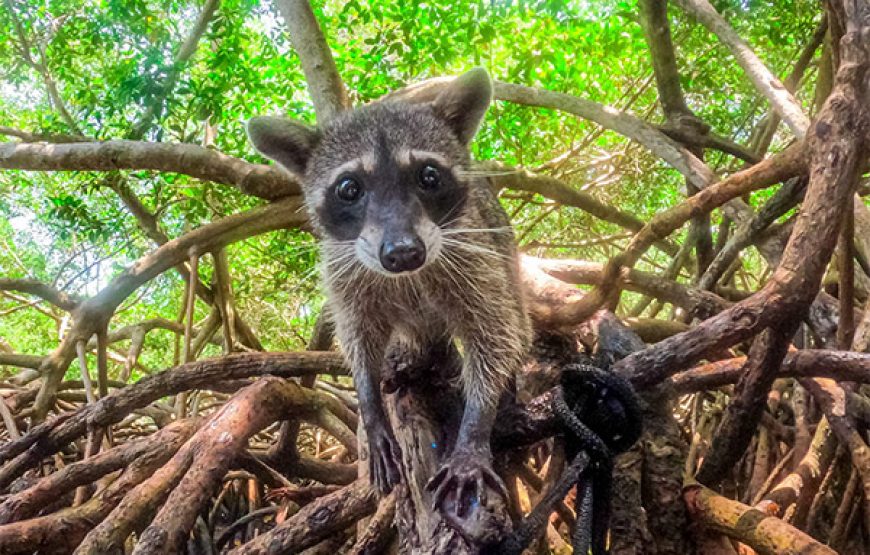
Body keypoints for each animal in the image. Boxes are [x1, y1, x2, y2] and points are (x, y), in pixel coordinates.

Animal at [247, 69, 532, 516]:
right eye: (349, 188)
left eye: (428, 176)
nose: (403, 253)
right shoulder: (344, 270)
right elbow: (357, 338)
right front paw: (370, 406)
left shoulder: (476, 256)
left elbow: (496, 336)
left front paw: (475, 428)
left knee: (517, 324)